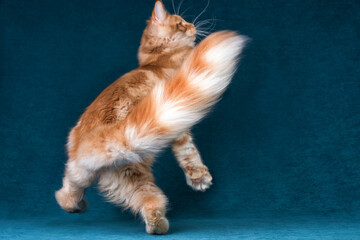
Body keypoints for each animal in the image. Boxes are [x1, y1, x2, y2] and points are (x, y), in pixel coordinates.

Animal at [55, 0, 248, 234]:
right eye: (181, 23)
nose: (193, 25)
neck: (157, 61)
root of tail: (103, 133)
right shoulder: (179, 119)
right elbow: (189, 152)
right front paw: (199, 177)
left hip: (104, 174)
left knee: (70, 189)